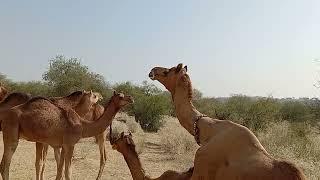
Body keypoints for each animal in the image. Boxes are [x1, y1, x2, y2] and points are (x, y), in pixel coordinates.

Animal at [0, 90, 133, 180]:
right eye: (120, 96)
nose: (131, 98)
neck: (82, 124)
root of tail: (5, 115)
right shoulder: (70, 144)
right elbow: (67, 172)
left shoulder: (63, 145)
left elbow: (60, 170)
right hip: (11, 133)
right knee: (5, 165)